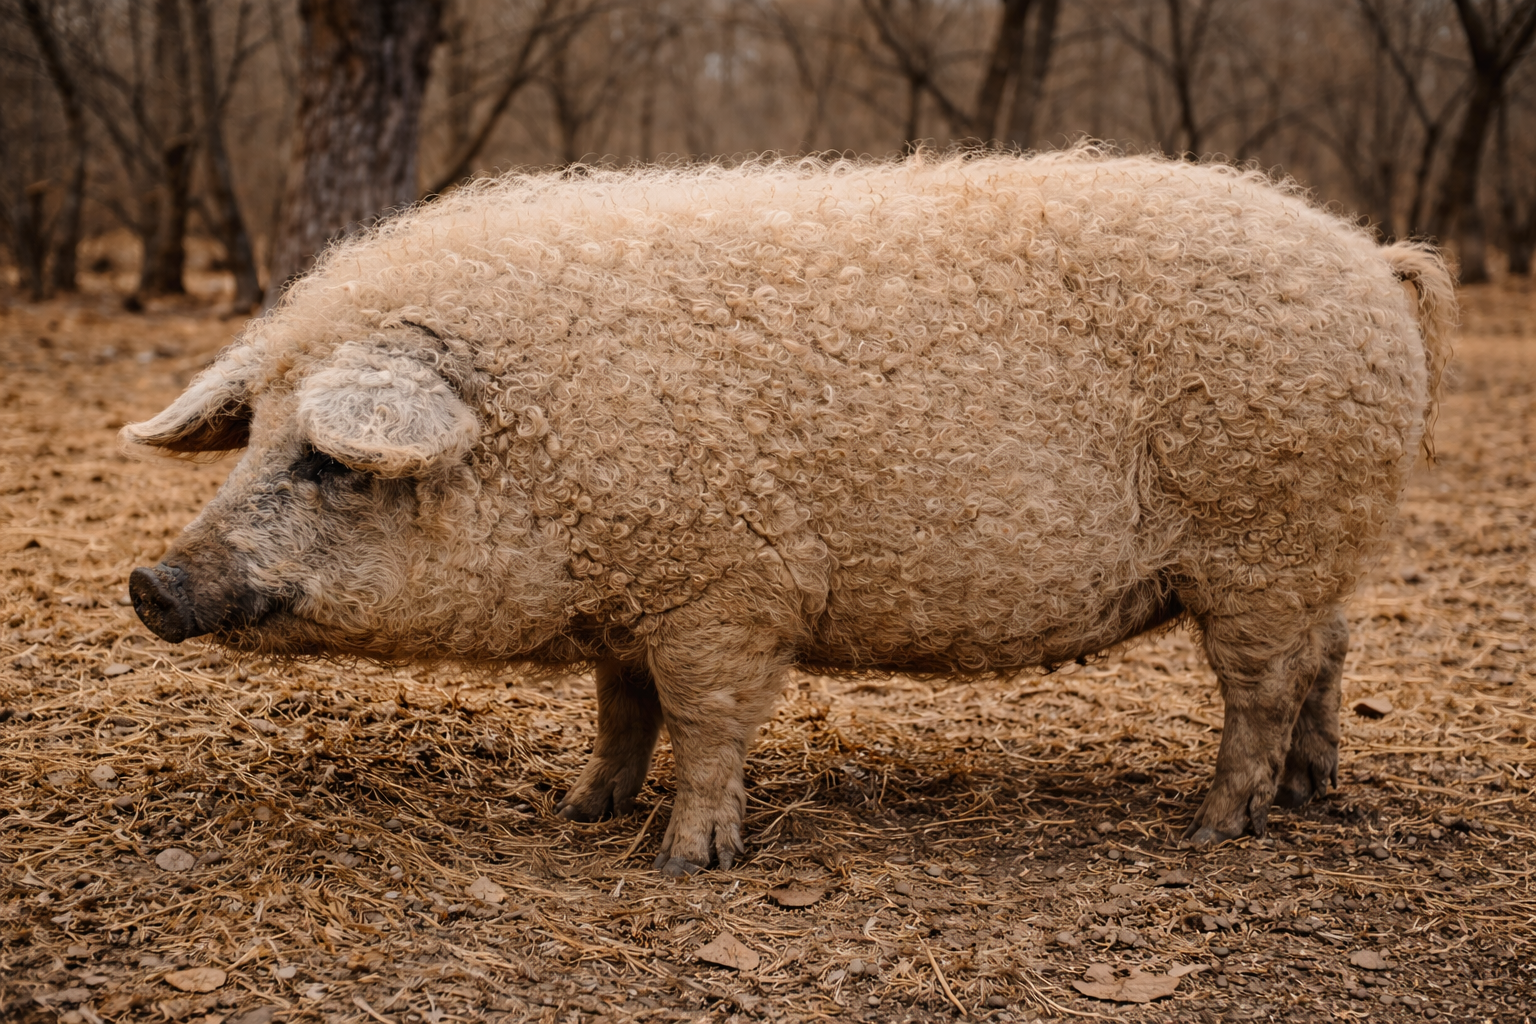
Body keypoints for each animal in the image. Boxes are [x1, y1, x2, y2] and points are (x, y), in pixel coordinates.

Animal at [124, 151, 1455, 874]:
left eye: (330, 462)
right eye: (257, 433)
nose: (150, 581)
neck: (553, 442)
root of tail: (1373, 259)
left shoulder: (723, 593)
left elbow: (707, 723)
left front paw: (682, 859)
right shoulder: (637, 598)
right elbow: (621, 711)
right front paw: (579, 808)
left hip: (1264, 539)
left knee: (1262, 687)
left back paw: (1214, 826)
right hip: (1313, 552)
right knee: (1334, 653)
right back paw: (1309, 796)